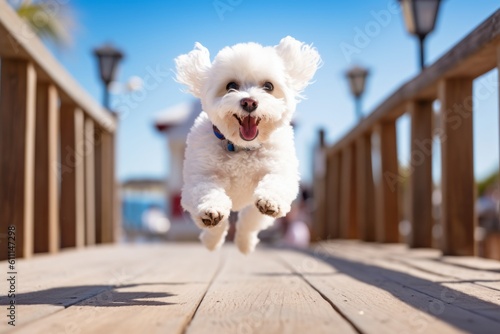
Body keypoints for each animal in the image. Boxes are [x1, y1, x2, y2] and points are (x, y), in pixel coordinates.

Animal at [176, 36, 320, 254]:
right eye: (231, 85)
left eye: (268, 86)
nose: (249, 102)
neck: (241, 148)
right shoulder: (200, 178)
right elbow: (207, 195)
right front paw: (211, 212)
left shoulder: (279, 170)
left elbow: (262, 206)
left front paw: (269, 202)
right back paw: (211, 240)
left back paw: (245, 244)